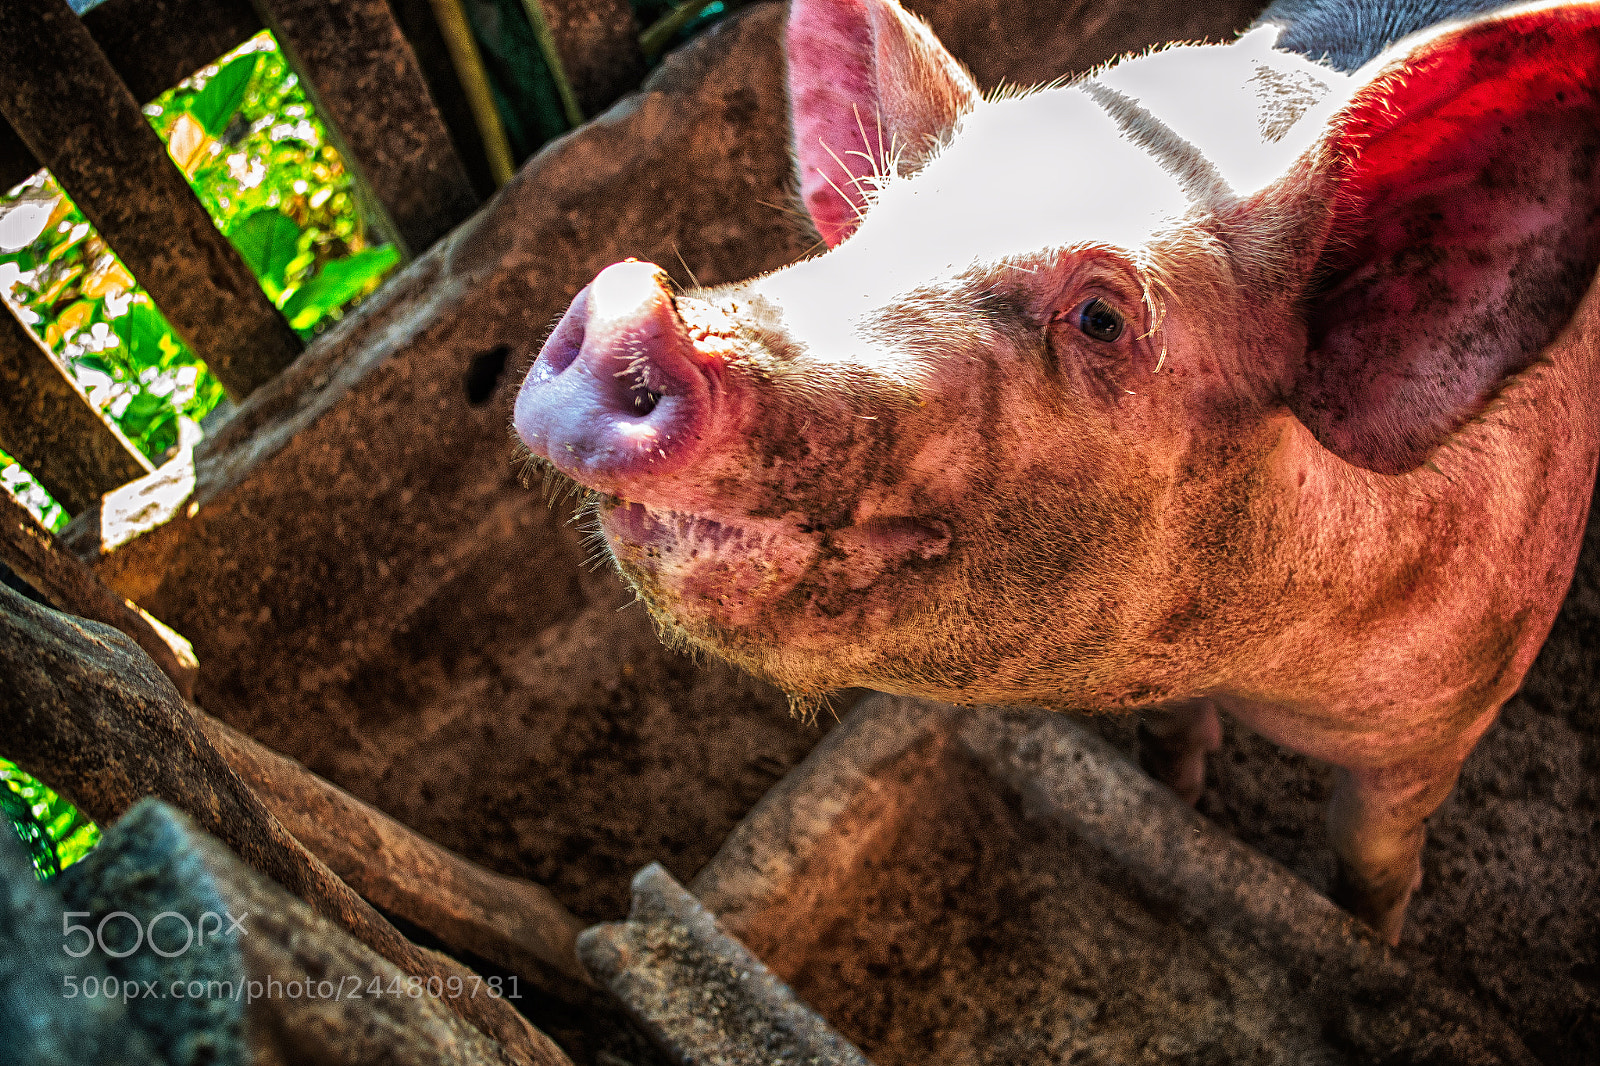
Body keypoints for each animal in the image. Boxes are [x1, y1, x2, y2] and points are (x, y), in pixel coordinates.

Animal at [513, 0, 1600, 944]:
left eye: (1102, 319)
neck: (1254, 663)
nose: (627, 309)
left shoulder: (1451, 712)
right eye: (877, 227)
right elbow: (1169, 752)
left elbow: (1371, 856)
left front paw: (1368, 941)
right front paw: (1176, 801)